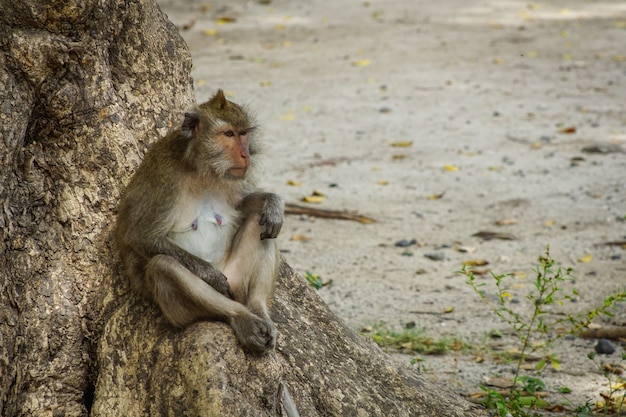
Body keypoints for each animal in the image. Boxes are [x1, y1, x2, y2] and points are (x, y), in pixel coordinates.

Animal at [114, 89, 282, 352]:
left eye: (244, 133)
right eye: (229, 134)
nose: (245, 155)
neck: (202, 169)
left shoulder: (233, 178)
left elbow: (244, 208)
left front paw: (273, 202)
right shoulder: (163, 177)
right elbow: (138, 235)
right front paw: (211, 276)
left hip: (236, 278)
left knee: (262, 225)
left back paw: (258, 308)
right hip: (180, 311)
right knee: (164, 265)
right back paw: (240, 316)